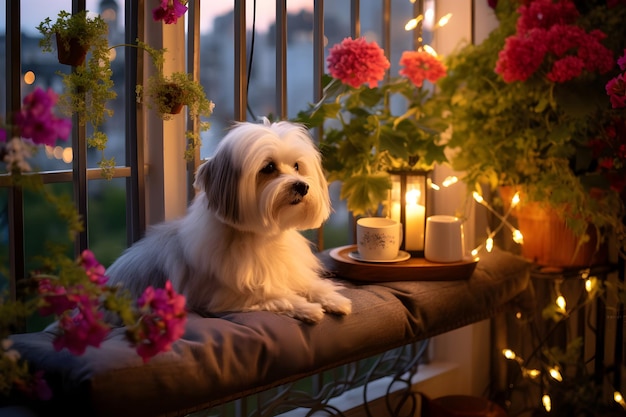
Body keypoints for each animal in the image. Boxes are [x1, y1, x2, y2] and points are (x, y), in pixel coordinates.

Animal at [106, 118, 352, 324]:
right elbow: (276, 295)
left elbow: (307, 283)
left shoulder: (290, 271)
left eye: (297, 166)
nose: (302, 186)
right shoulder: (230, 295)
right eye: (269, 167)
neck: (263, 237)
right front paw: (307, 308)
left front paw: (332, 298)